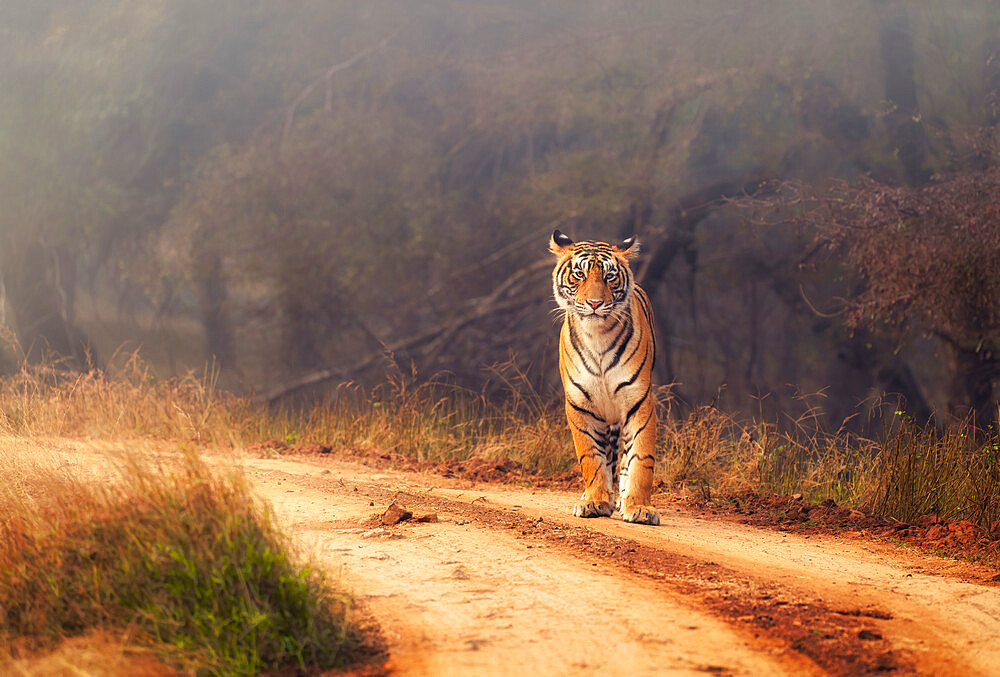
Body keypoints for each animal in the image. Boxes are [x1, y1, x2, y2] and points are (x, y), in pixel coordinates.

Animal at [552, 230, 660, 524]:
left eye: (610, 276)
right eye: (579, 274)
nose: (595, 303)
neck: (597, 335)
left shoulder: (639, 401)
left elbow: (640, 457)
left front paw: (639, 507)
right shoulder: (579, 404)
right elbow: (591, 457)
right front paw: (595, 501)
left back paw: (622, 499)